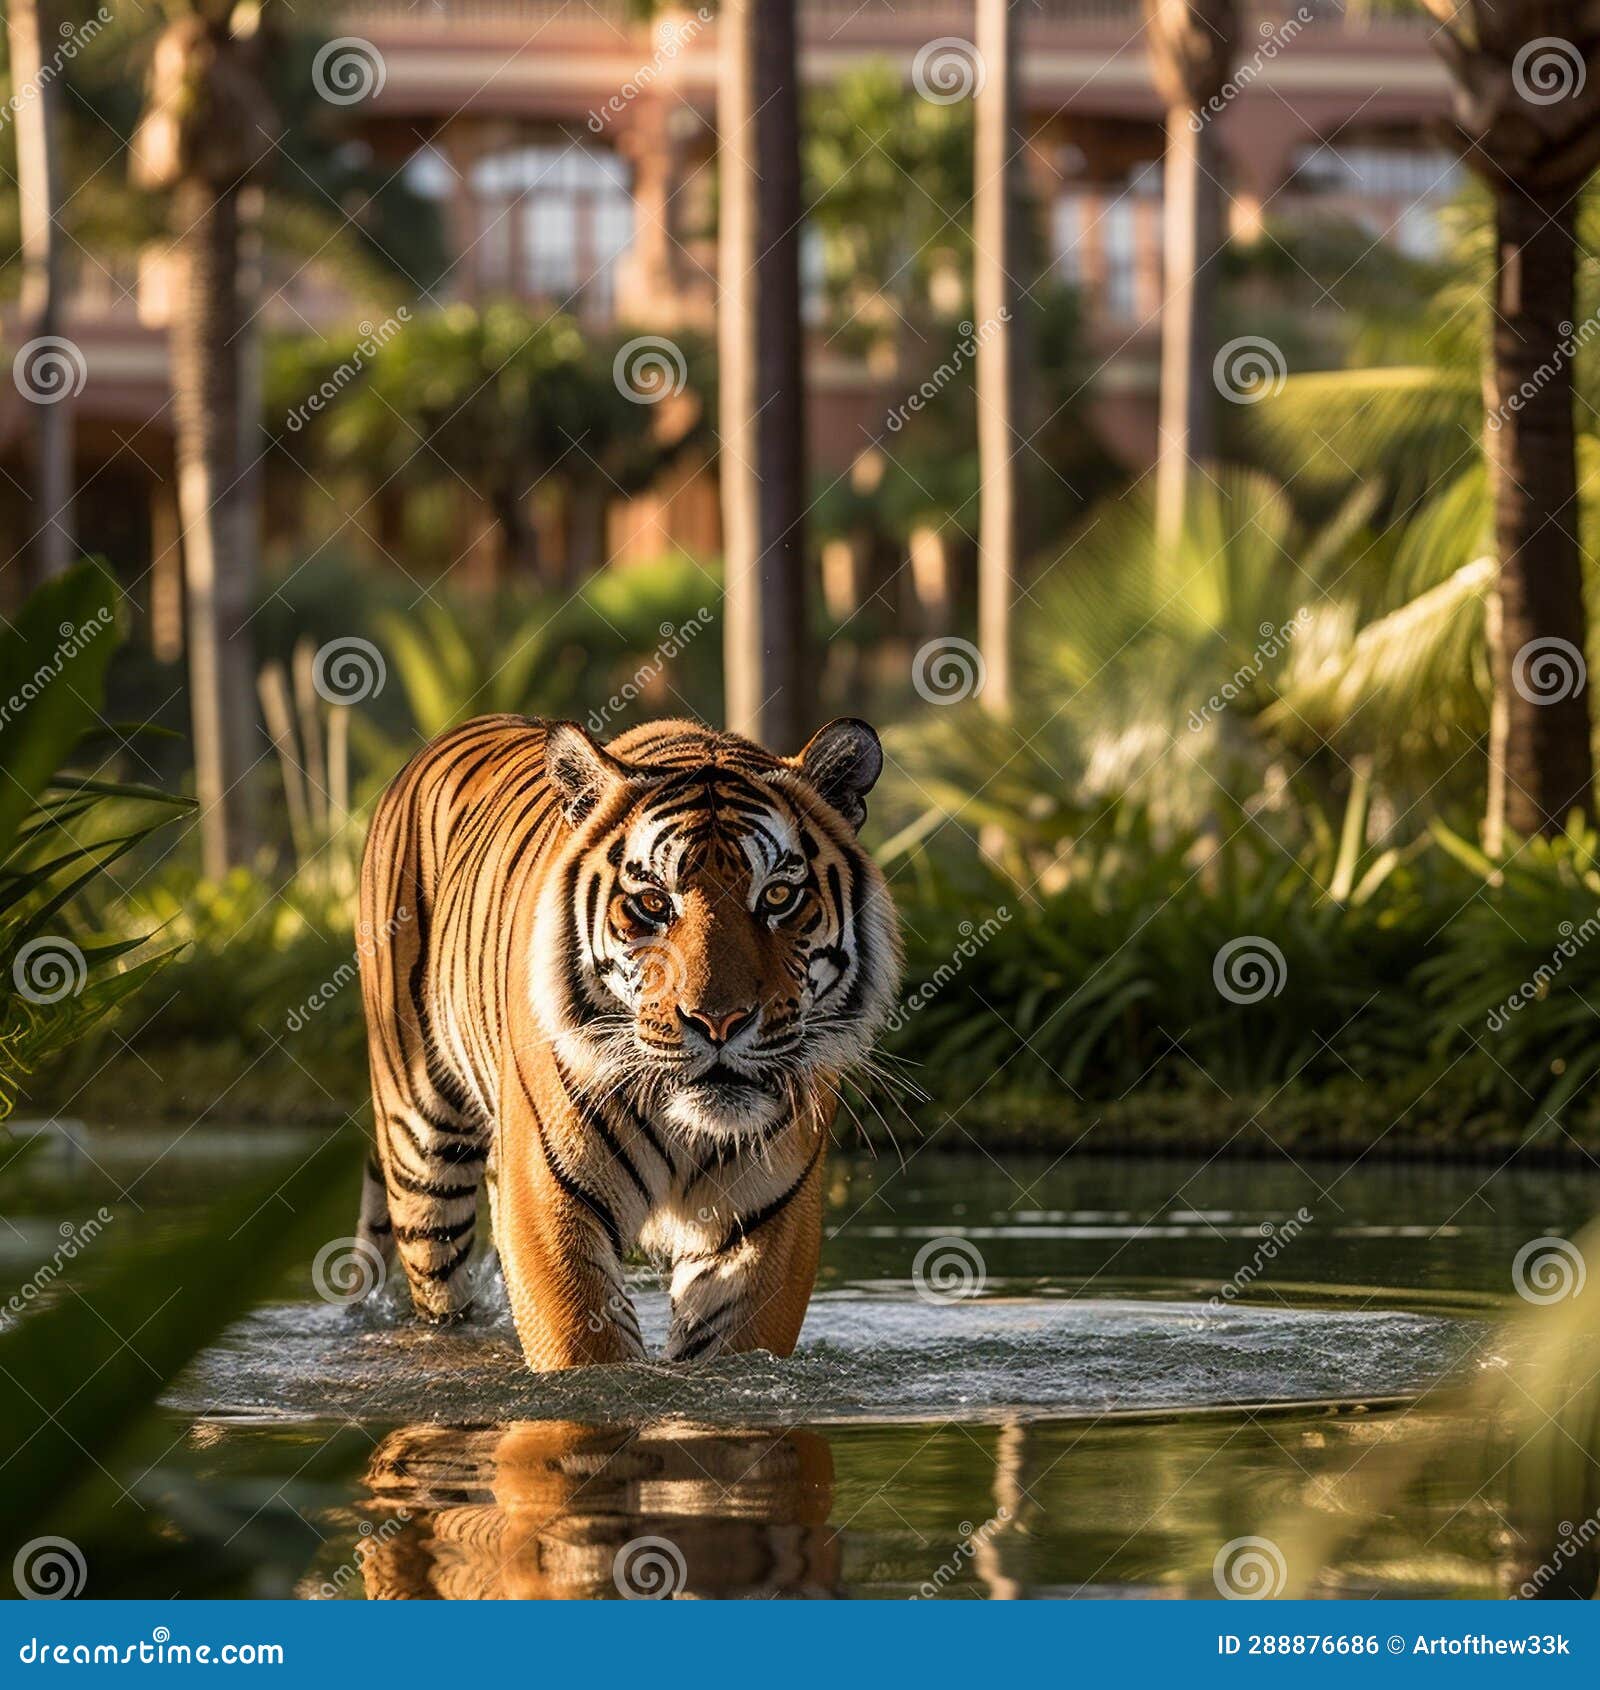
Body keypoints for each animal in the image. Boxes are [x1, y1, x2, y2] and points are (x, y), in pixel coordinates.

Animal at [353, 713, 898, 1372]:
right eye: (653, 903)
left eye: (777, 896)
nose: (719, 1022)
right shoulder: (546, 1200)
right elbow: (585, 1351)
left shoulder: (766, 1217)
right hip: (422, 1149)